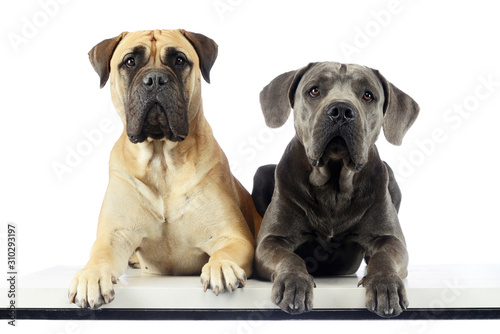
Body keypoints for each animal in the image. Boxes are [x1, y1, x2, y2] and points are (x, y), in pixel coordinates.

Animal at [68, 30, 262, 310]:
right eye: (130, 62)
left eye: (179, 60)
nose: (155, 79)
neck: (162, 161)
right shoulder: (115, 235)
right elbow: (100, 254)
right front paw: (91, 276)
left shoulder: (233, 237)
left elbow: (225, 252)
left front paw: (221, 266)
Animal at [252, 61, 420, 318]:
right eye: (314, 90)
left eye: (368, 95)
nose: (341, 110)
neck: (334, 186)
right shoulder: (271, 240)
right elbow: (289, 257)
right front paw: (294, 282)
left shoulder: (391, 239)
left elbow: (383, 256)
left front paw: (385, 284)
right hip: (261, 173)